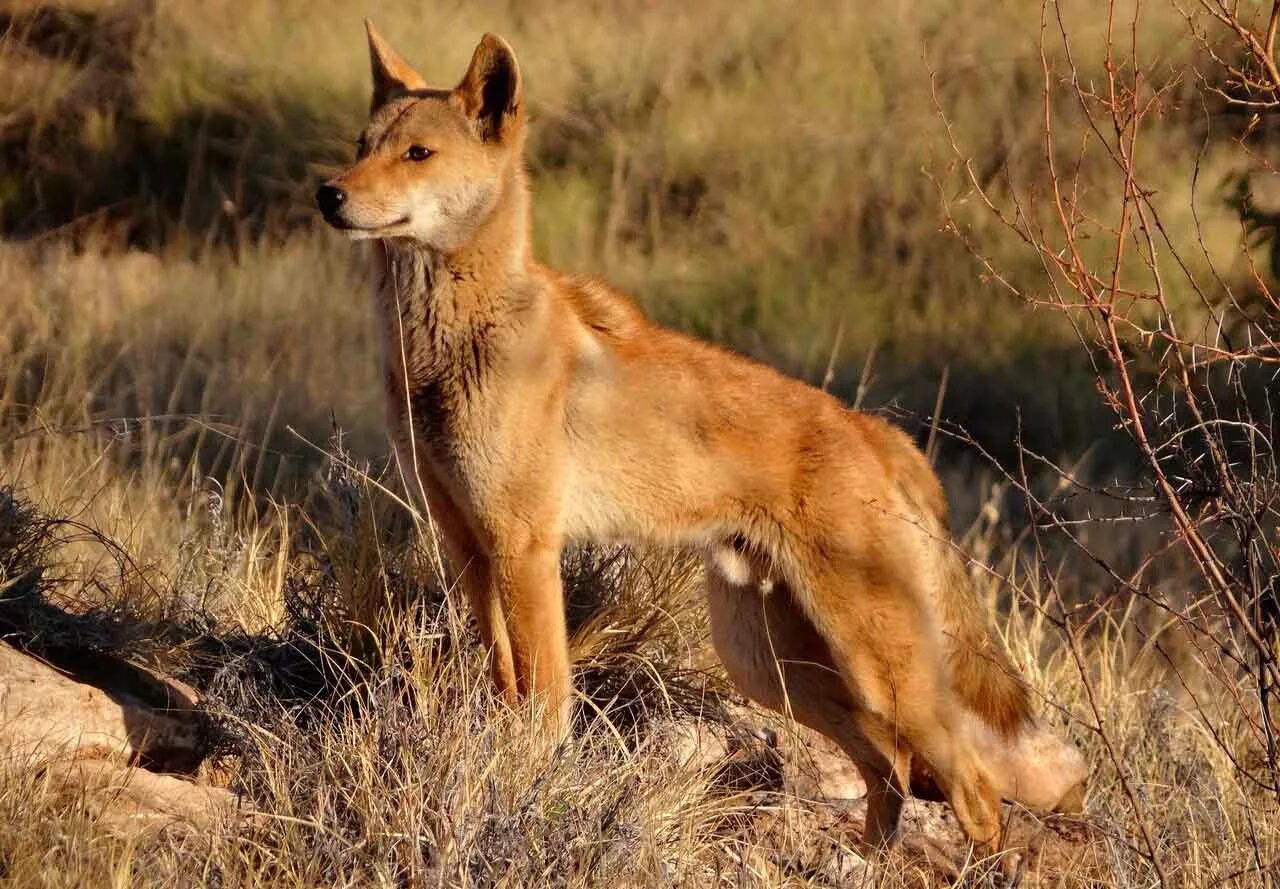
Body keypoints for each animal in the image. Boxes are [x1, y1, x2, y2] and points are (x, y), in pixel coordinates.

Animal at [314, 22, 1085, 864]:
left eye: (417, 153)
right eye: (361, 146)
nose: (329, 194)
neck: (450, 347)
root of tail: (874, 431)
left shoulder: (525, 548)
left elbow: (543, 706)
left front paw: (531, 790)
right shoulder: (466, 548)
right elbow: (504, 686)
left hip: (876, 664)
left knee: (972, 784)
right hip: (775, 667)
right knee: (891, 772)